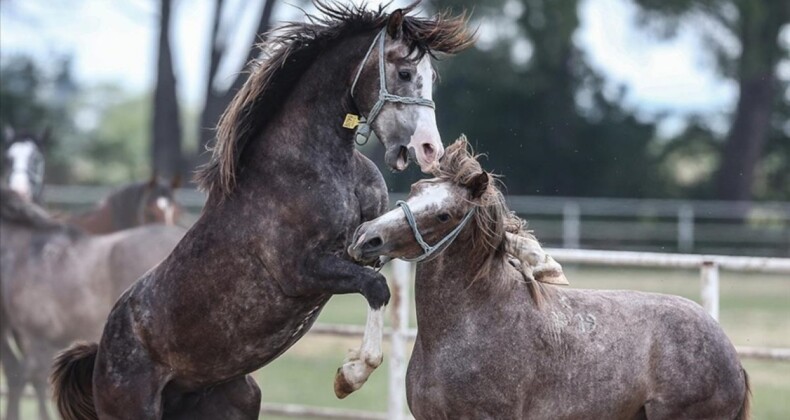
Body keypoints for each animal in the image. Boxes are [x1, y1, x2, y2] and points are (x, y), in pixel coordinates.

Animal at [52, 4, 474, 420]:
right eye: (404, 73)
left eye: (431, 76)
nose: (429, 149)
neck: (309, 164)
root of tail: (100, 354)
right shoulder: (301, 272)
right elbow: (376, 288)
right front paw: (350, 375)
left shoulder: (367, 243)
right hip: (136, 408)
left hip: (238, 399)